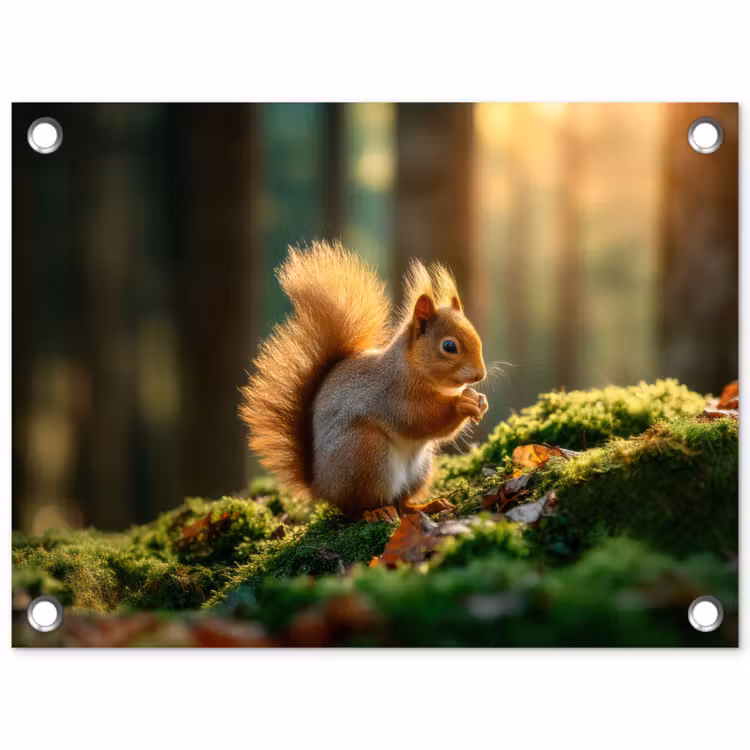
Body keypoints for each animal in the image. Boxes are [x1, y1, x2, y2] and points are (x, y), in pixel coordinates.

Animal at [240, 240, 488, 522]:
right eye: (449, 346)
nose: (480, 375)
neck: (411, 368)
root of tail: (321, 487)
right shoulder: (392, 395)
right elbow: (420, 418)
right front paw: (461, 404)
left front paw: (479, 401)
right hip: (365, 455)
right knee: (357, 508)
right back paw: (377, 512)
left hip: (418, 469)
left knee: (402, 503)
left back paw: (426, 506)